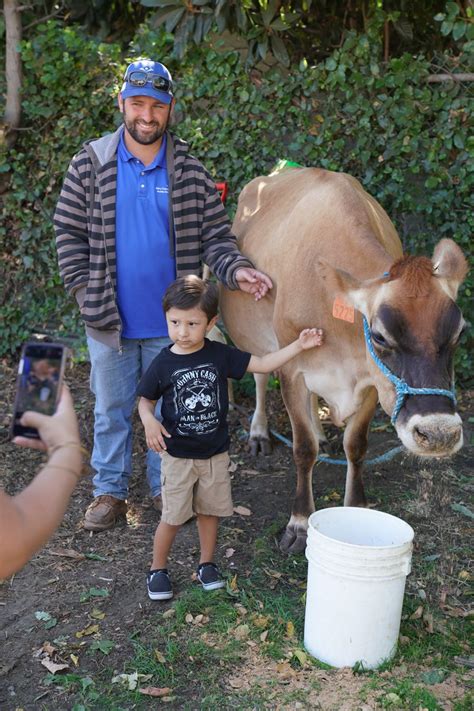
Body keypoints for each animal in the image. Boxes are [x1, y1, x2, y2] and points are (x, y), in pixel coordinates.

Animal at [219, 168, 466, 556]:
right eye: (379, 336)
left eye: (459, 332)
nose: (439, 433)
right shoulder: (292, 369)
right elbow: (303, 448)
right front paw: (300, 522)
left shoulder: (372, 382)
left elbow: (356, 445)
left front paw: (356, 508)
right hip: (255, 335)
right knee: (259, 377)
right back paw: (259, 432)